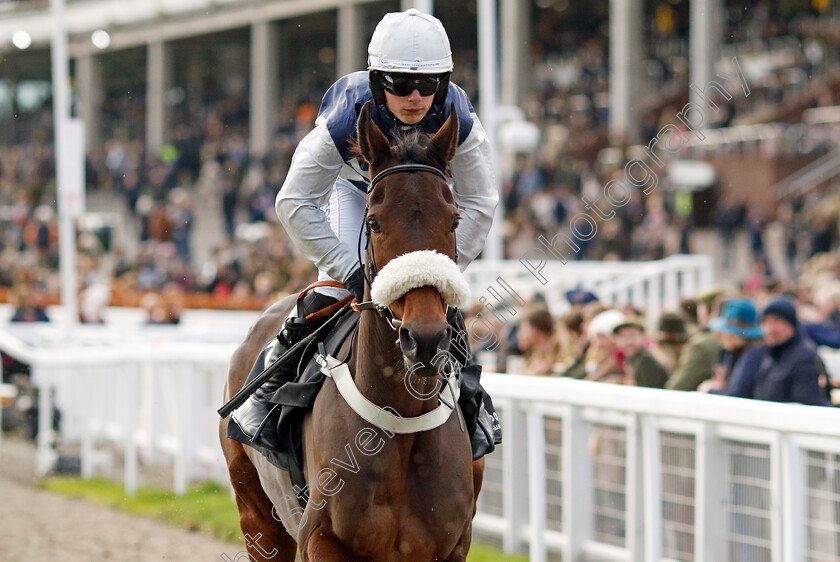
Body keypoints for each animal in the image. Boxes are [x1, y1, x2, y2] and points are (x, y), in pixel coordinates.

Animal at [221, 101, 486, 560]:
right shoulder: (320, 538)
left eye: (454, 221)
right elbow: (294, 200)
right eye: (375, 223)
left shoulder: (452, 546)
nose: (425, 337)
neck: (400, 420)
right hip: (257, 517)